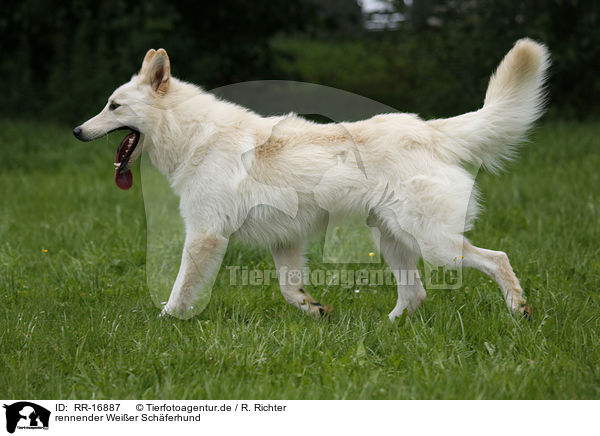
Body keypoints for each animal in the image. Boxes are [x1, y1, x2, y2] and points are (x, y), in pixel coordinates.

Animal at [74, 40, 548, 320]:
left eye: (114, 106)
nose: (77, 131)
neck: (194, 135)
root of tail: (429, 129)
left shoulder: (205, 236)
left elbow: (178, 293)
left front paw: (164, 325)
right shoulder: (284, 241)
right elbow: (289, 290)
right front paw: (314, 309)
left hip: (437, 247)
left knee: (497, 259)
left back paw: (519, 310)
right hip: (393, 242)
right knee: (415, 296)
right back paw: (386, 327)